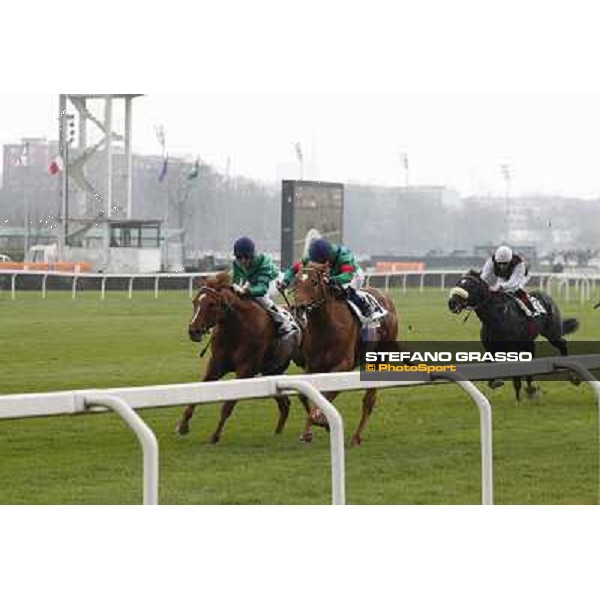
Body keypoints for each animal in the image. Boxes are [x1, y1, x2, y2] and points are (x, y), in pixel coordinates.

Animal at [175, 274, 304, 442]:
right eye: (195, 301)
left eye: (211, 304)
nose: (193, 331)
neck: (235, 330)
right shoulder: (216, 366)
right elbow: (198, 391)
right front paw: (183, 426)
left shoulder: (246, 370)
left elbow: (228, 405)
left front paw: (215, 436)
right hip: (272, 371)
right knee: (285, 404)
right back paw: (277, 433)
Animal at [290, 262, 398, 446]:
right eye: (295, 282)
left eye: (314, 282)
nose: (299, 308)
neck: (326, 327)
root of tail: (385, 297)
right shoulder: (313, 367)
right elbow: (304, 395)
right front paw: (309, 431)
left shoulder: (343, 366)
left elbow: (327, 395)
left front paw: (322, 421)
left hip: (379, 357)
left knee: (369, 400)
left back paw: (356, 437)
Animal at [448, 270, 580, 400]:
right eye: (458, 283)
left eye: (471, 285)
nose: (452, 303)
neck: (496, 318)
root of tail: (546, 296)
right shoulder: (491, 348)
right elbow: (490, 369)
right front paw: (496, 382)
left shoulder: (514, 350)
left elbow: (516, 378)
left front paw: (518, 399)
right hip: (528, 342)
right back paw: (531, 389)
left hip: (552, 333)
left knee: (562, 344)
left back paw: (572, 376)